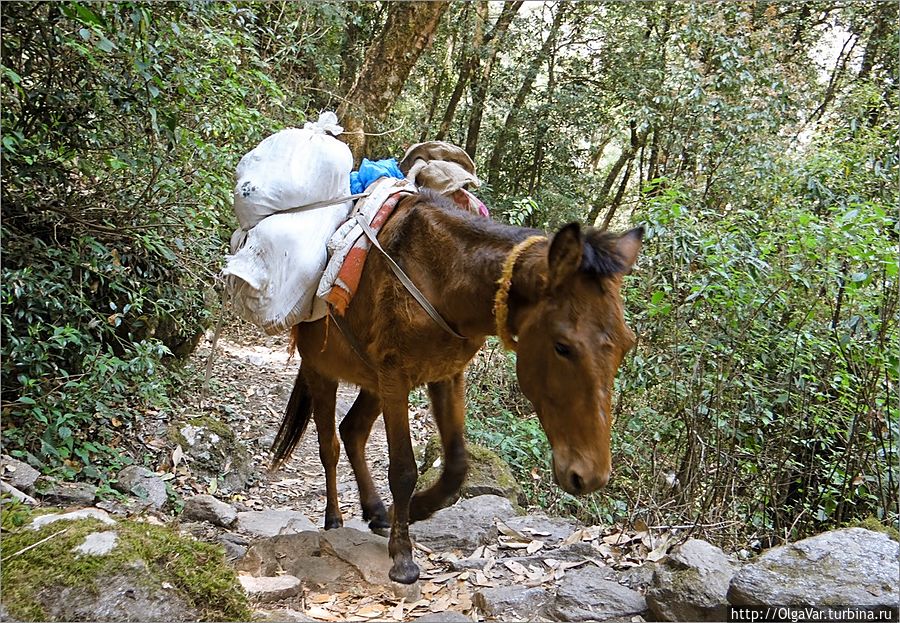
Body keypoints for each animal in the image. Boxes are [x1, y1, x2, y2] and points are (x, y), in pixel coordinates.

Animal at [268, 190, 640, 584]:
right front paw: (403, 557)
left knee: (352, 431)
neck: (443, 277)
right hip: (323, 372)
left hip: (372, 380)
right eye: (563, 346)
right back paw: (334, 518)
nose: (591, 475)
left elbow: (457, 465)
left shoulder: (445, 375)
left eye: (626, 345)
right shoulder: (396, 377)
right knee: (330, 446)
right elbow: (403, 469)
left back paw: (377, 511)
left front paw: (412, 510)